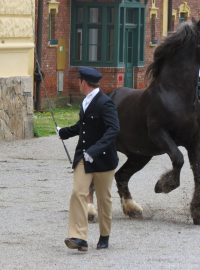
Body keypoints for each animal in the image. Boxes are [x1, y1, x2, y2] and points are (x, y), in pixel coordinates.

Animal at [88, 19, 200, 226]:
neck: (176, 94)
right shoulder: (159, 134)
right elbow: (178, 158)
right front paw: (163, 185)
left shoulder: (193, 141)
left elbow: (196, 171)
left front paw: (196, 212)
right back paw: (90, 211)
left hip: (140, 155)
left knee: (121, 175)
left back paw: (132, 208)